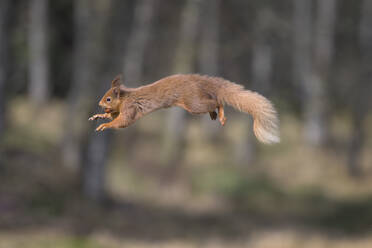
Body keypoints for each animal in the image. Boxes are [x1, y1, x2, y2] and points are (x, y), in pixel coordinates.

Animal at [88, 73, 280, 143]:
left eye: (108, 98)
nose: (99, 105)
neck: (126, 97)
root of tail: (197, 82)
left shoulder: (130, 109)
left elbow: (122, 122)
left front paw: (104, 125)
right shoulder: (120, 110)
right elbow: (114, 117)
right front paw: (98, 117)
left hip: (193, 103)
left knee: (217, 101)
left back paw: (220, 114)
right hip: (195, 102)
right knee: (212, 102)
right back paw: (214, 115)